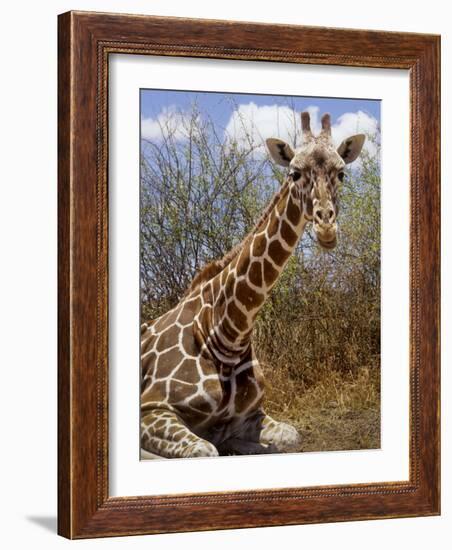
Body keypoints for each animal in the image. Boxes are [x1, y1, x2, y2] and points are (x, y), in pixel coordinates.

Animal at [139, 110, 366, 460]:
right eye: (294, 173)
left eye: (341, 173)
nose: (326, 227)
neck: (226, 332)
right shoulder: (151, 408)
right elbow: (204, 450)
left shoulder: (250, 414)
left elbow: (289, 437)